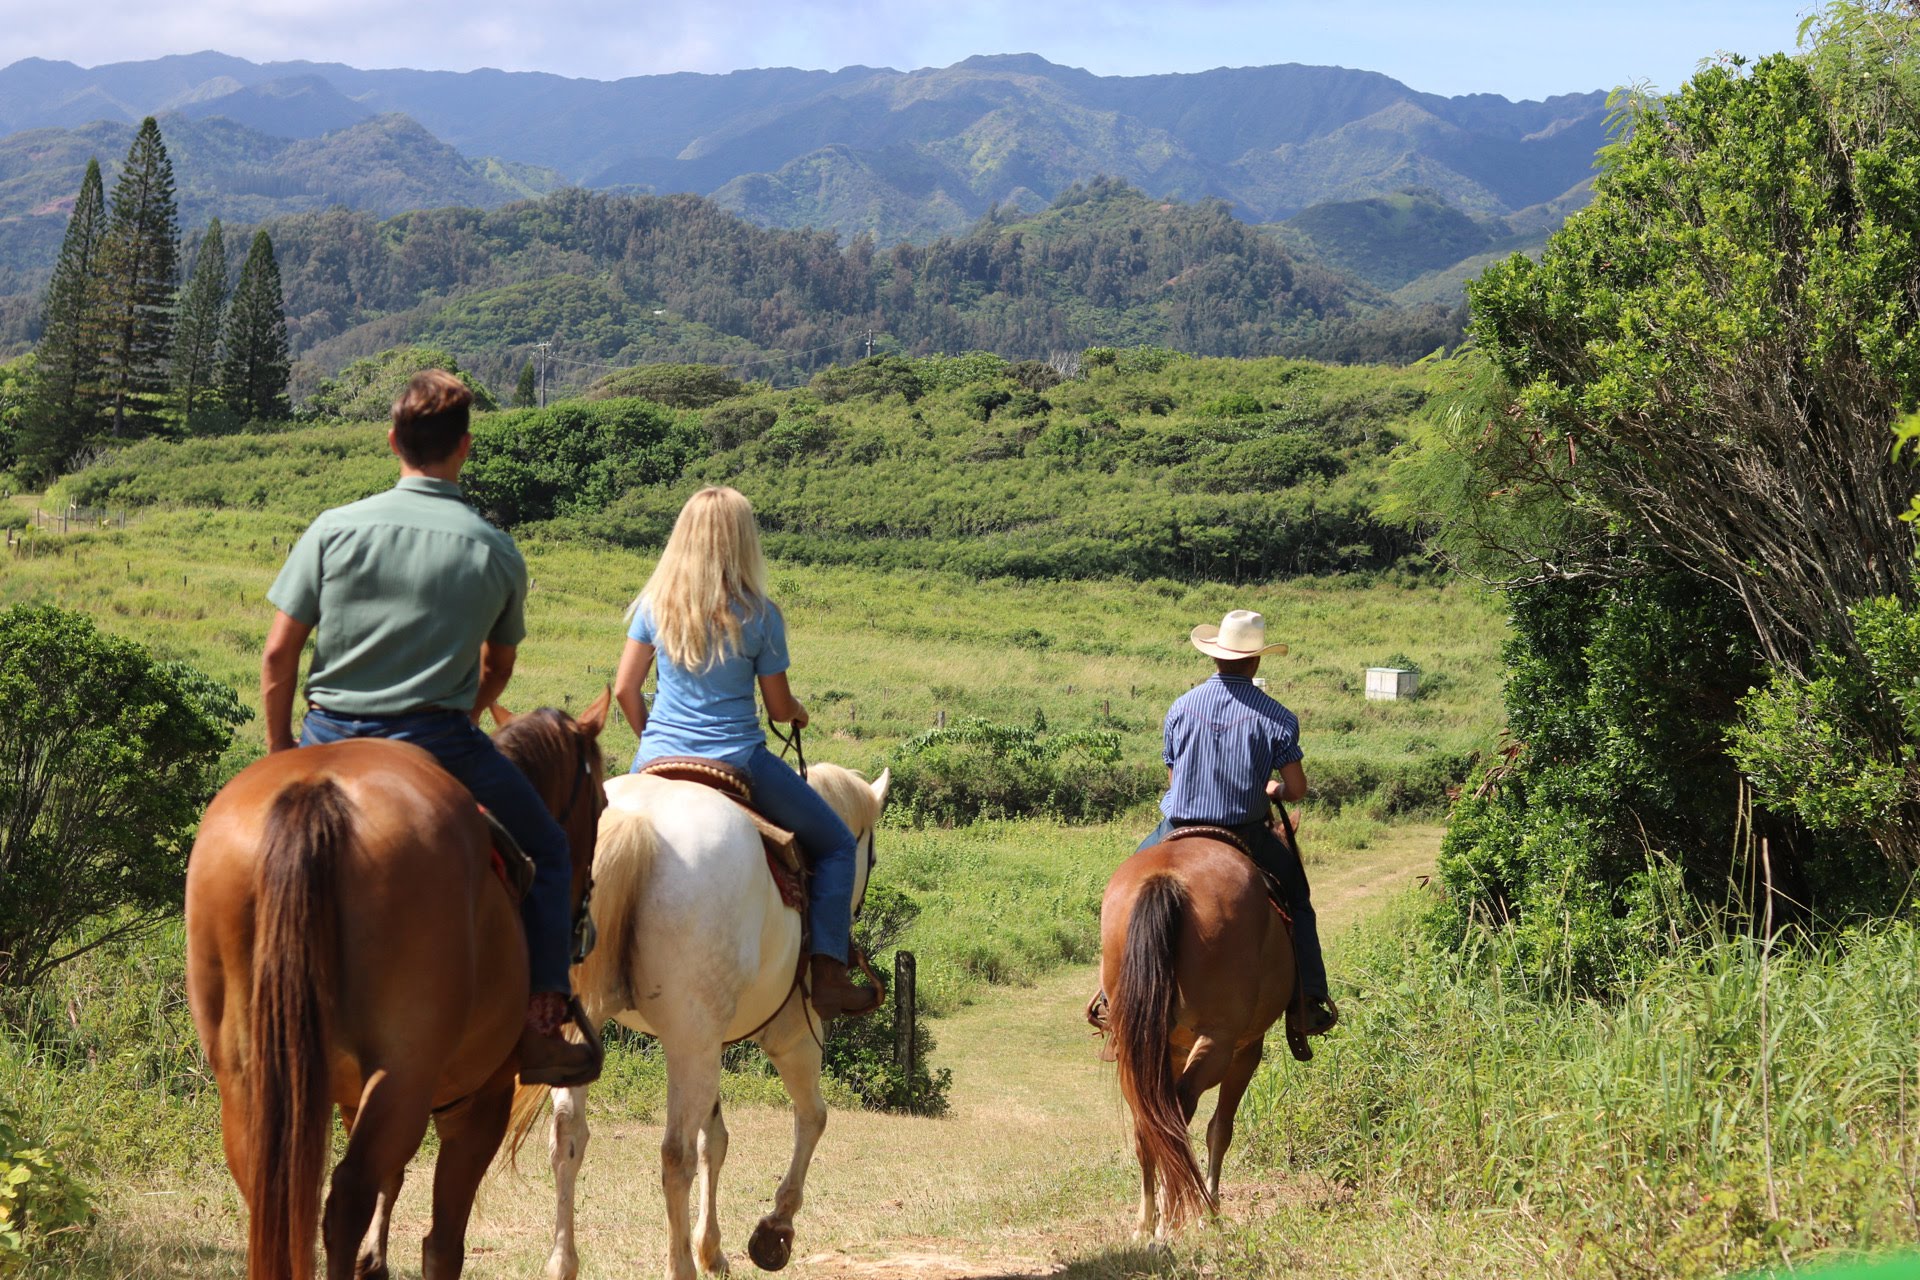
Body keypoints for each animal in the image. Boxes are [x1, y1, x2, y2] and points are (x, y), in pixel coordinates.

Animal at [185, 690, 606, 1280]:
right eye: (602, 803)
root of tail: (316, 793)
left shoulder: (351, 1095)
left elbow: (393, 1178)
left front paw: (375, 1260)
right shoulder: (480, 1103)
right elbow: (443, 1245)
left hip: (250, 1078)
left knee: (277, 1195)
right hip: (405, 1073)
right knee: (345, 1198)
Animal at [514, 759, 894, 1280]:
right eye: (870, 859)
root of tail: (635, 819)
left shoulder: (711, 1040)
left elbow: (715, 1139)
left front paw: (711, 1246)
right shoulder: (793, 1037)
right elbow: (813, 1118)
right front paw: (774, 1228)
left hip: (604, 1031)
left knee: (568, 1137)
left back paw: (561, 1262)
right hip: (694, 1040)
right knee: (674, 1154)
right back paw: (679, 1266)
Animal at [1098, 832, 1290, 1243]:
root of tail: (1165, 879)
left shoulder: (1168, 1051)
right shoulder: (1246, 1050)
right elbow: (1221, 1129)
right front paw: (1212, 1212)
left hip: (1135, 1050)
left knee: (1150, 1123)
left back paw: (1148, 1223)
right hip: (1219, 1043)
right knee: (1179, 1114)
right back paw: (1177, 1216)